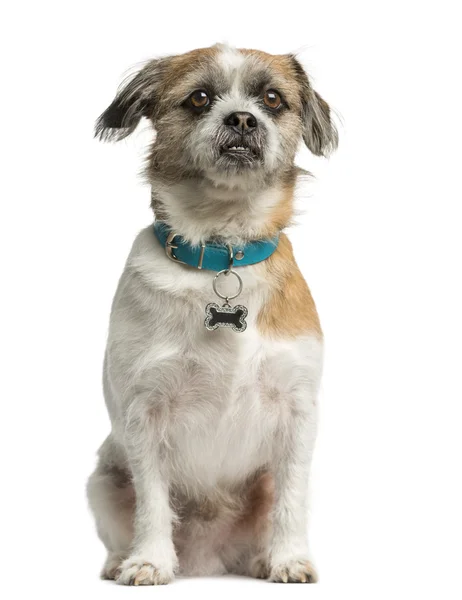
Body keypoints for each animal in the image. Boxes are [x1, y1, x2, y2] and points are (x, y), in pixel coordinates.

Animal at [86, 43, 338, 584]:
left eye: (272, 99)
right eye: (200, 98)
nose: (242, 118)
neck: (222, 252)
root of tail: (212, 559)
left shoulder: (298, 412)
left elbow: (291, 499)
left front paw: (290, 559)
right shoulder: (144, 412)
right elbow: (152, 501)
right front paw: (149, 560)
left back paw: (264, 558)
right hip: (104, 479)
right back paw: (121, 560)